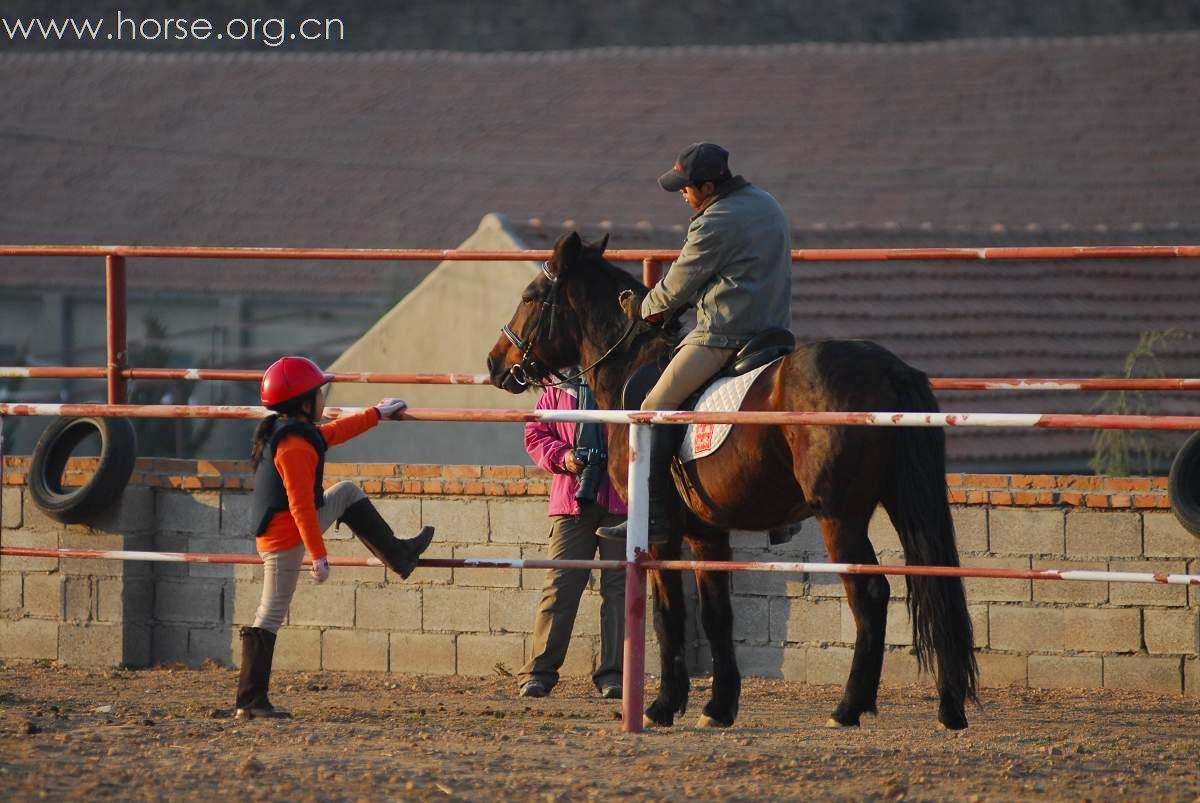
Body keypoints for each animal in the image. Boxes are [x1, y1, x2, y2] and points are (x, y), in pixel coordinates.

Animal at [484, 230, 974, 724]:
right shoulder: (707, 534)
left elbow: (669, 613)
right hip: (900, 502)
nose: (494, 363)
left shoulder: (660, 535)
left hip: (840, 517)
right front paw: (718, 706)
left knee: (870, 593)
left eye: (531, 296)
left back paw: (848, 707)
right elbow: (717, 616)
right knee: (934, 583)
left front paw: (662, 706)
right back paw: (949, 707)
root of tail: (888, 367)